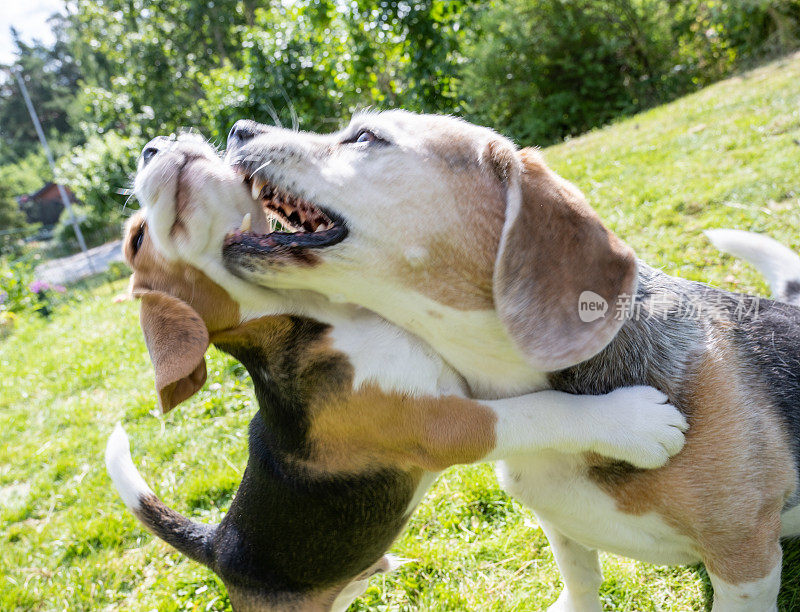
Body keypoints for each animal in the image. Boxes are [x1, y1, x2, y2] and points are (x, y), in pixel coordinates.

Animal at [103, 135, 684, 612]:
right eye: (136, 241)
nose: (154, 145)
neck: (327, 317)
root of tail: (221, 544)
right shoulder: (441, 427)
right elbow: (537, 410)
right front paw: (637, 424)